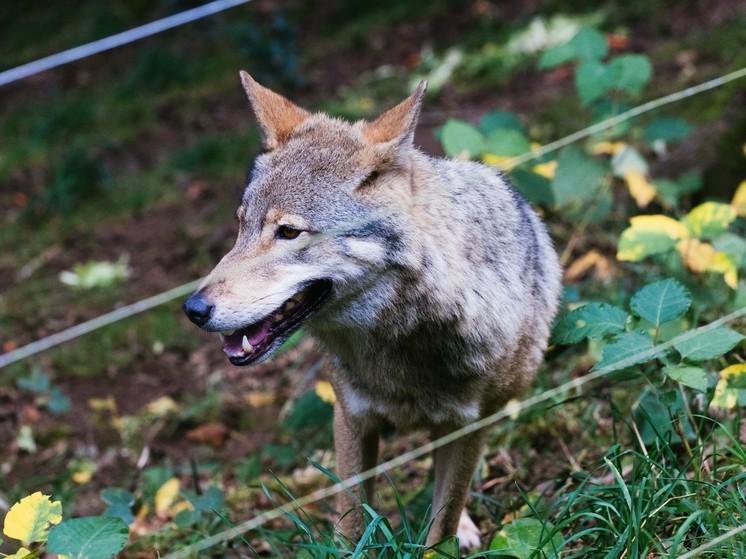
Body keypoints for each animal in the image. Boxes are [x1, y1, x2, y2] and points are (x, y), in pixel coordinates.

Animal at [183, 72, 560, 548]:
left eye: (288, 232)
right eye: (241, 226)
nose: (193, 309)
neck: (401, 344)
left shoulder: (471, 425)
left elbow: (442, 524)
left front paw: (446, 540)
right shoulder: (351, 418)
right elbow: (352, 523)